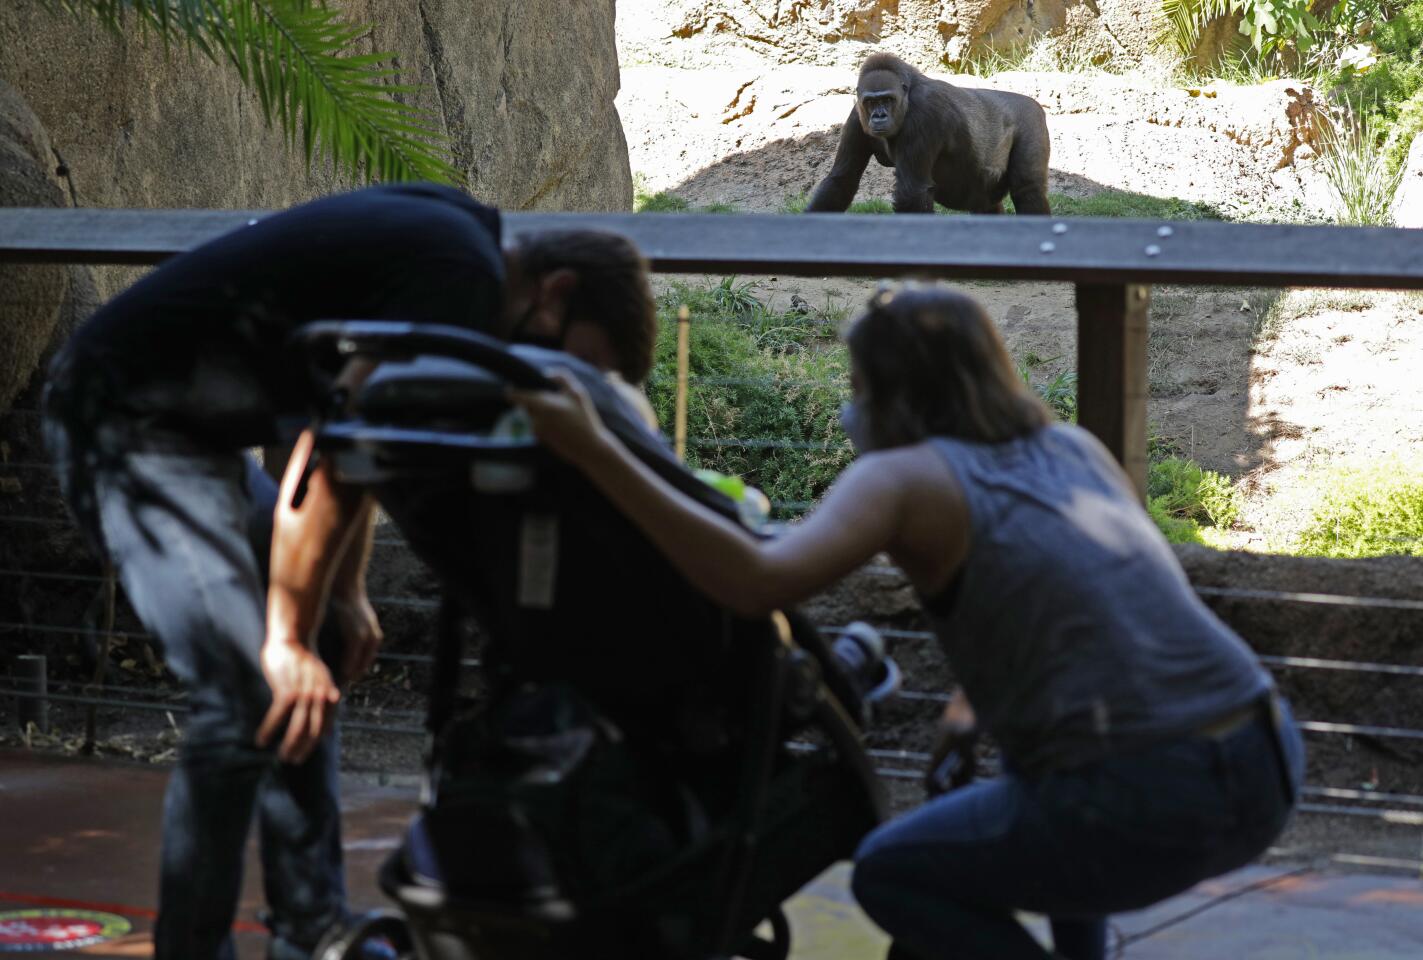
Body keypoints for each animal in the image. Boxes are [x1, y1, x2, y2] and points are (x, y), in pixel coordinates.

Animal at [808, 54, 1053, 217]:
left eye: (887, 99)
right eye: (871, 102)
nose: (879, 116)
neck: (907, 94)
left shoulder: (923, 113)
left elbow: (911, 192)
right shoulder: (856, 117)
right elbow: (842, 180)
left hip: (1031, 119)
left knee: (1027, 188)